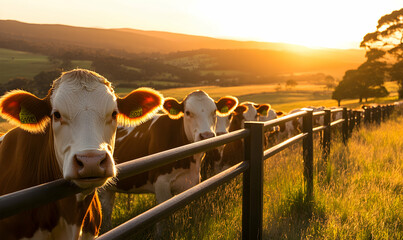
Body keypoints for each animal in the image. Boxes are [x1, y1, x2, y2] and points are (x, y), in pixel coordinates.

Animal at [99, 90, 238, 231]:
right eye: (188, 112)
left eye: (214, 111)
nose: (206, 136)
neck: (188, 162)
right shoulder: (161, 184)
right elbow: (163, 222)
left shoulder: (191, 182)